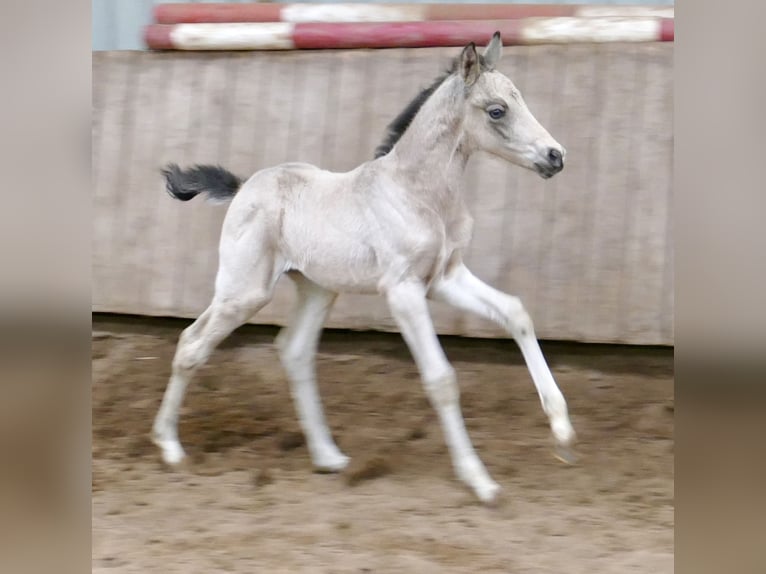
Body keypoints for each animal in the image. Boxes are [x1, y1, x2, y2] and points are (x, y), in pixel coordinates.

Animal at [152, 33, 575, 504]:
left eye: (522, 99)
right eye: (497, 110)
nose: (555, 156)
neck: (416, 193)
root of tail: (244, 187)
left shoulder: (445, 278)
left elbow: (516, 312)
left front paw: (561, 428)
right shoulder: (403, 291)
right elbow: (442, 379)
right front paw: (479, 480)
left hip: (316, 290)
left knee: (294, 351)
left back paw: (328, 457)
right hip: (244, 291)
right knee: (192, 344)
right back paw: (170, 447)